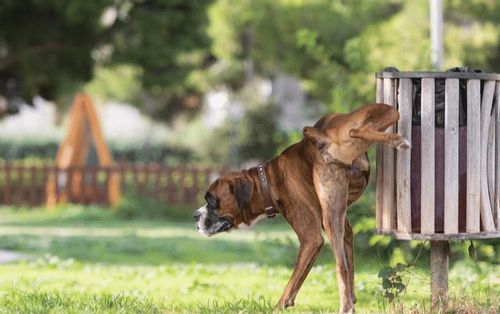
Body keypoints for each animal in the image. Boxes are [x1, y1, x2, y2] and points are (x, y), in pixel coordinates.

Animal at [193, 102, 408, 312]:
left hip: (330, 216)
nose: (195, 215)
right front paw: (353, 298)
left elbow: (294, 280)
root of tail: (325, 136)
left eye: (211, 200)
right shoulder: (345, 229)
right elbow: (350, 266)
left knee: (340, 266)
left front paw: (280, 305)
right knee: (369, 124)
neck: (269, 180)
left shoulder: (310, 239)